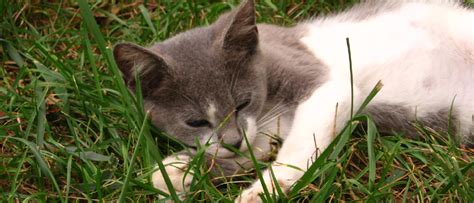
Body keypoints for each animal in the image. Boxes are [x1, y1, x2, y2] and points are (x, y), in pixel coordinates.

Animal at [113, 0, 472, 201]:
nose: (232, 140)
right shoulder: (267, 129)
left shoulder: (319, 79)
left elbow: (300, 144)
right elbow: (255, 151)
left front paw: (264, 190)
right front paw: (176, 170)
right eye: (196, 121)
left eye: (243, 103)